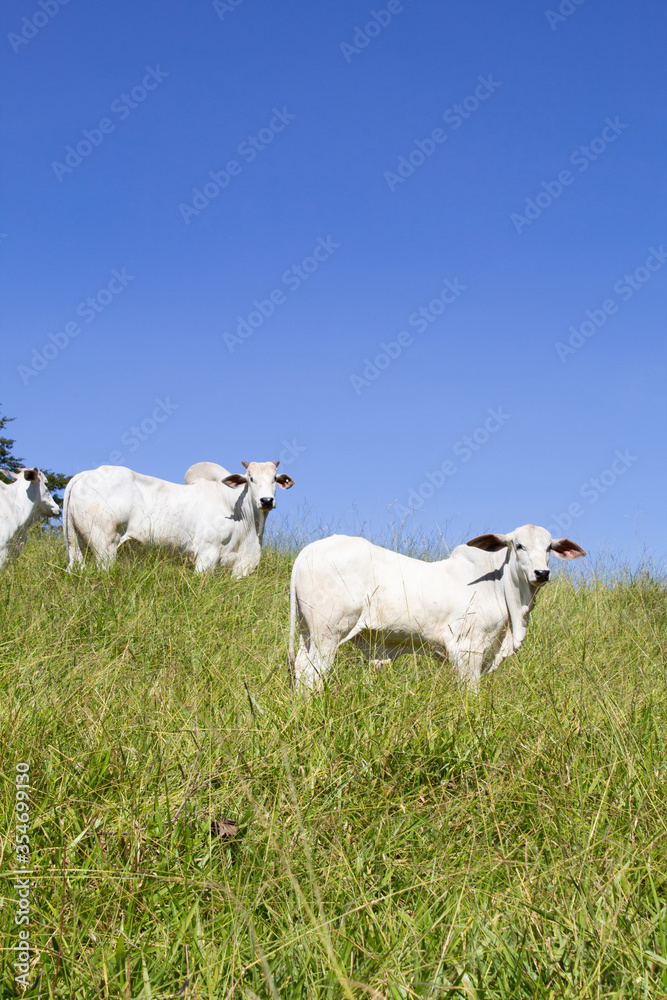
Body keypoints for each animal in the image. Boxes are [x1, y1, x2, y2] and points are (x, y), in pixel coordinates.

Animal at [63, 461, 295, 574]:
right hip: (104, 543)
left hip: (77, 545)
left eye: (274, 478)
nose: (266, 500)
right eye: (250, 478)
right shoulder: (206, 552)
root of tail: (86, 474)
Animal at [288, 524, 585, 691]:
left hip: (308, 632)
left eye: (549, 548)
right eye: (519, 545)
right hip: (328, 633)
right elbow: (470, 691)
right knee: (313, 673)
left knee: (302, 670)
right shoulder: (468, 647)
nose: (542, 573)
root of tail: (306, 551)